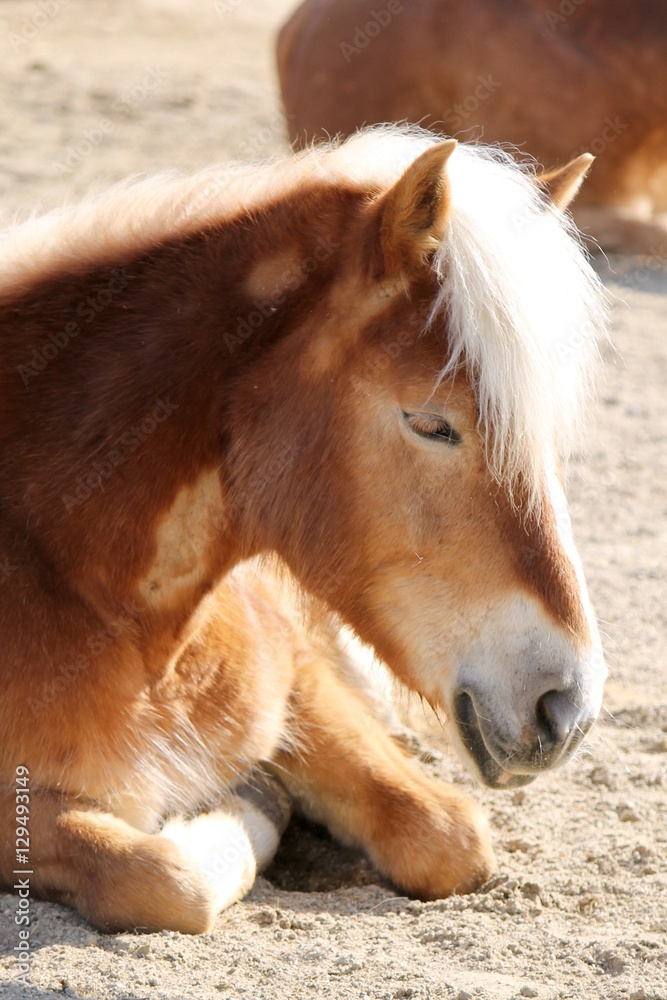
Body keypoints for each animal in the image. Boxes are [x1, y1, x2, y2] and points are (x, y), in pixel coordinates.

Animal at [0, 126, 608, 935]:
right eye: (429, 423)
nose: (565, 708)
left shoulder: (298, 671)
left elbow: (448, 835)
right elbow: (159, 877)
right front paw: (250, 801)